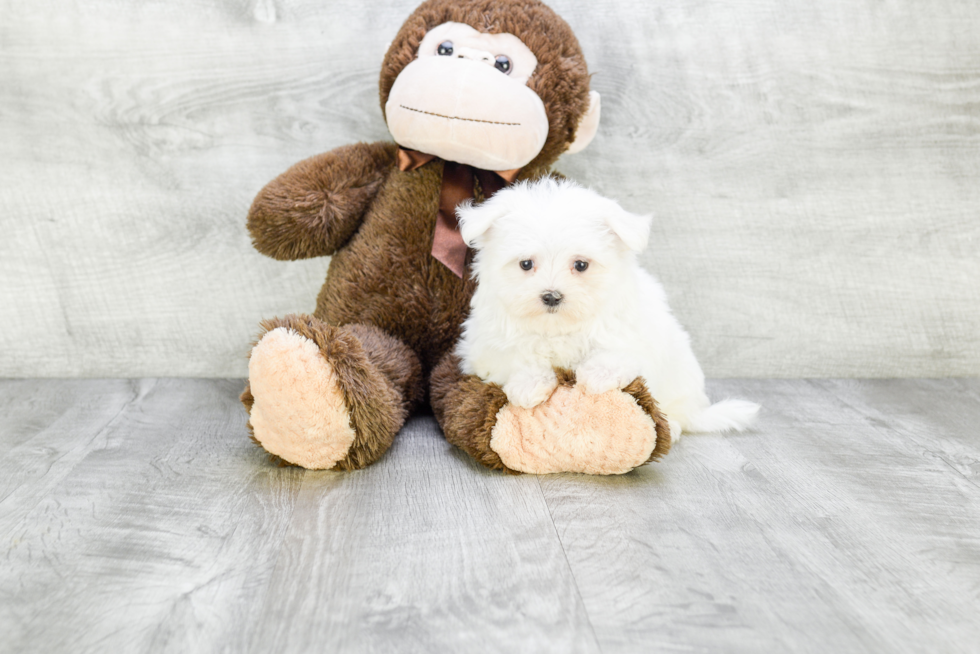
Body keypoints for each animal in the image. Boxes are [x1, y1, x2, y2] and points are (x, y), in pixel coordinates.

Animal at [456, 178, 760, 440]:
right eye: (526, 264)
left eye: (581, 265)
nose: (552, 296)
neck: (557, 327)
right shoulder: (482, 346)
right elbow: (514, 356)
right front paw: (528, 384)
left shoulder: (634, 332)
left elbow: (620, 352)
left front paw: (597, 374)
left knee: (677, 412)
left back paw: (672, 426)